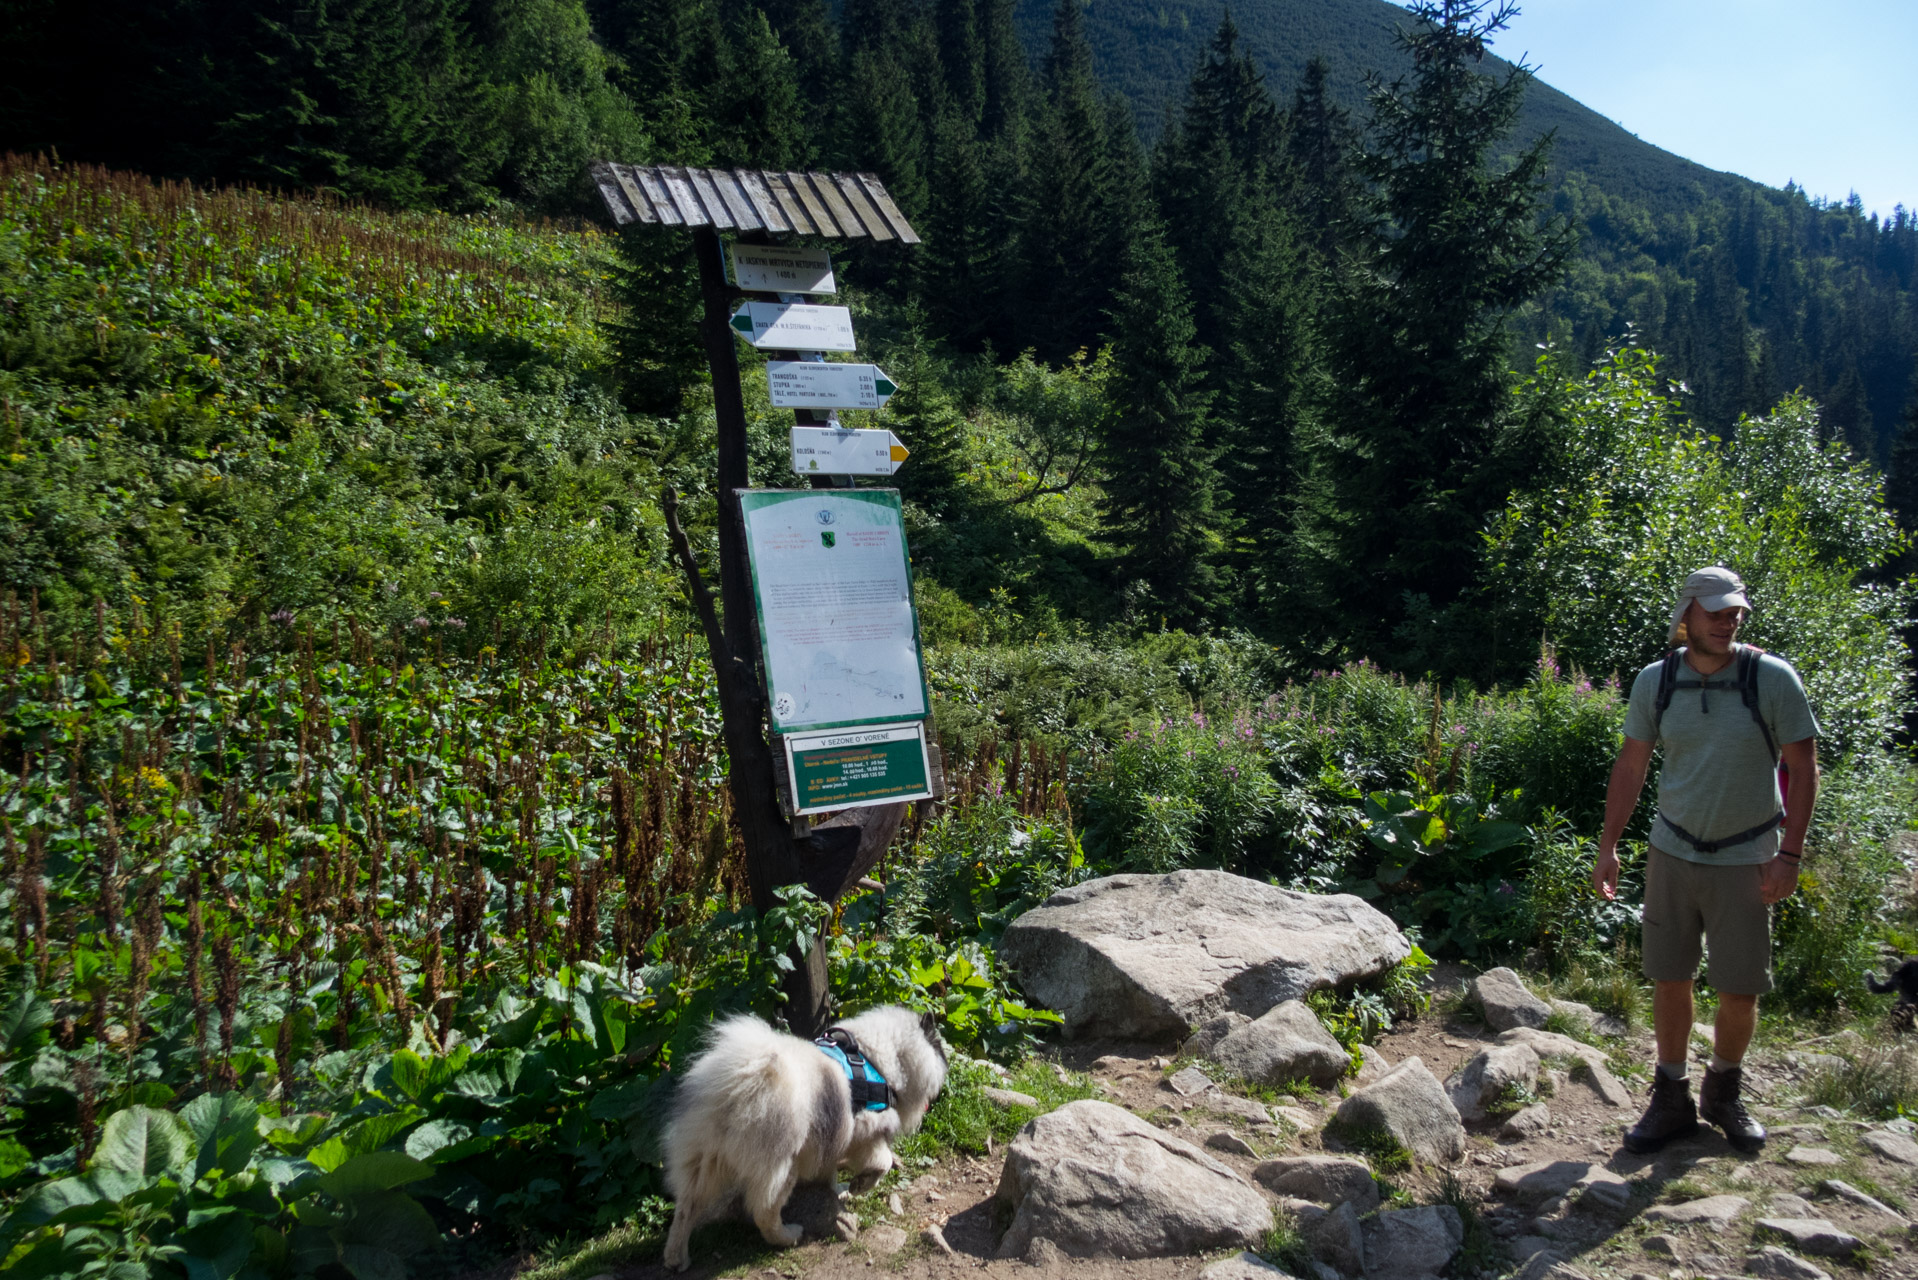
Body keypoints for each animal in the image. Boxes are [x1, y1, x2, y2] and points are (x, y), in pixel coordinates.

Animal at [663, 1013, 947, 1274]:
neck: (877, 1061)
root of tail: (735, 1087)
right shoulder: (868, 1129)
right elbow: (882, 1162)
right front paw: (860, 1185)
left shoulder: (830, 1140)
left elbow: (830, 1175)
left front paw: (841, 1190)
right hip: (781, 1168)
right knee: (764, 1213)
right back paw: (789, 1236)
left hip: (701, 1163)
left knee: (685, 1210)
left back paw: (677, 1259)